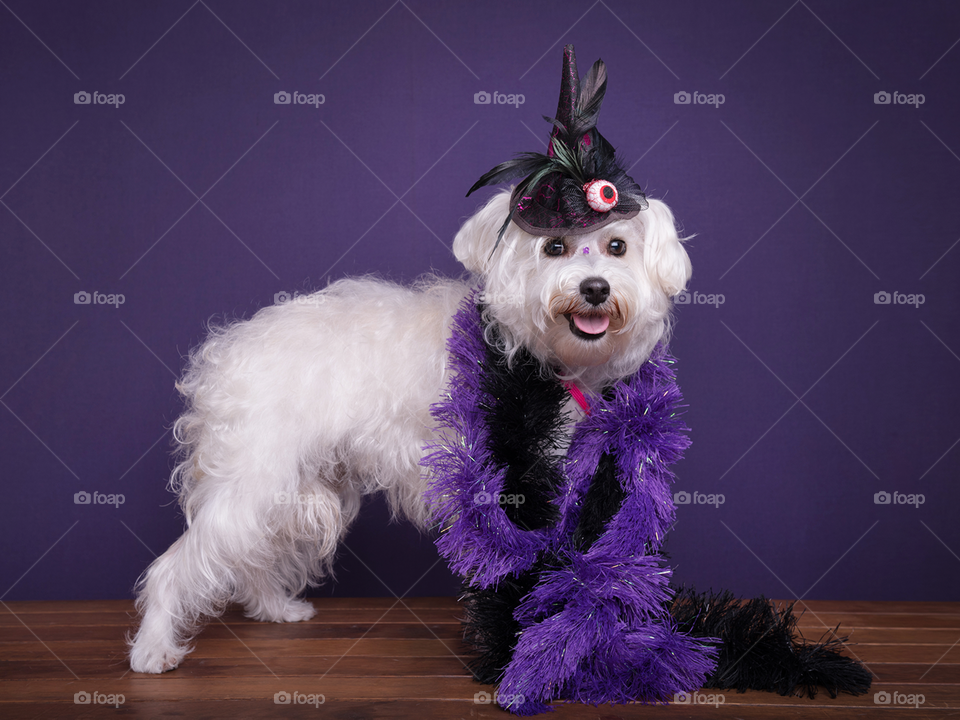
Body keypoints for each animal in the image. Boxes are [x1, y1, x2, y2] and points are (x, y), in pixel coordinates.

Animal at [129, 187, 688, 676]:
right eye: (554, 247)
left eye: (617, 246)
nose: (595, 288)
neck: (545, 353)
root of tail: (225, 354)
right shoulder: (515, 482)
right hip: (254, 482)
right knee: (179, 566)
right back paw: (153, 649)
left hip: (293, 485)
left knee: (252, 558)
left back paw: (275, 608)